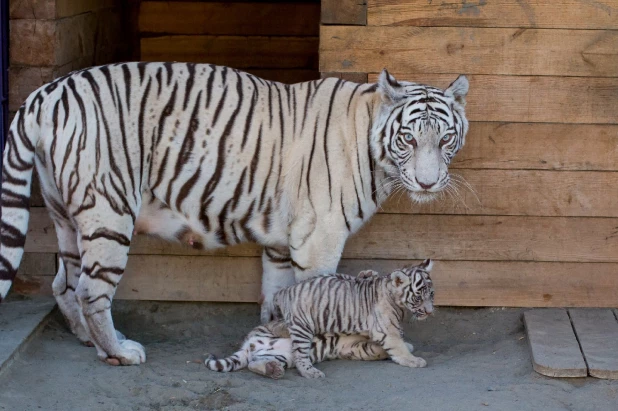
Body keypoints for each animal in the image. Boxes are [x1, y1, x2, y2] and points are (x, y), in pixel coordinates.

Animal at [0, 62, 464, 366]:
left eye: (445, 139)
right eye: (408, 139)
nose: (428, 184)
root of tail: (45, 93)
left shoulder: (283, 241)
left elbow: (279, 296)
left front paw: (275, 336)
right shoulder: (320, 237)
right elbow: (322, 298)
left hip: (65, 215)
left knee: (63, 282)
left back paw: (90, 341)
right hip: (108, 210)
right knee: (90, 290)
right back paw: (119, 353)